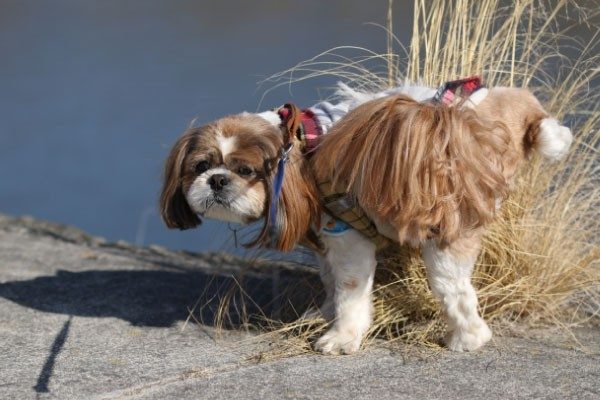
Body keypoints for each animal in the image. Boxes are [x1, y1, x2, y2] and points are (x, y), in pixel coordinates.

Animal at [158, 78, 572, 354]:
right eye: (200, 166)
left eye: (246, 170)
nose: (217, 180)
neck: (301, 146)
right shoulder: (327, 236)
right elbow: (330, 281)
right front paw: (324, 314)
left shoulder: (348, 237)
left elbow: (350, 291)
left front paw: (341, 335)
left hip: (446, 234)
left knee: (455, 291)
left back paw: (466, 339)